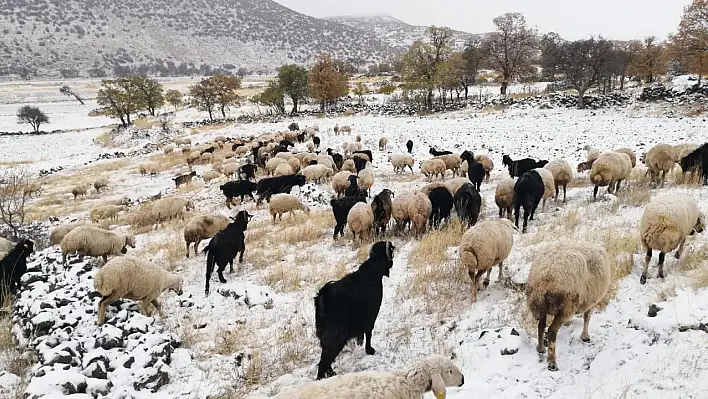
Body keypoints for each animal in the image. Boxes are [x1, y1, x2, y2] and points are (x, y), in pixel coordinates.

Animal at [314, 241, 396, 382]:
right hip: (335, 337)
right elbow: (369, 333)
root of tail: (322, 297)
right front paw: (369, 350)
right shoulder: (371, 316)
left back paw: (331, 373)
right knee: (323, 362)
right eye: (390, 250)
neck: (372, 272)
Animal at [524, 242, 612, 374]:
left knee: (541, 326)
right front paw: (585, 337)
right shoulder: (590, 302)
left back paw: (541, 349)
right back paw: (552, 363)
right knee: (551, 331)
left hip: (541, 305)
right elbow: (587, 317)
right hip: (565, 306)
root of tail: (544, 277)